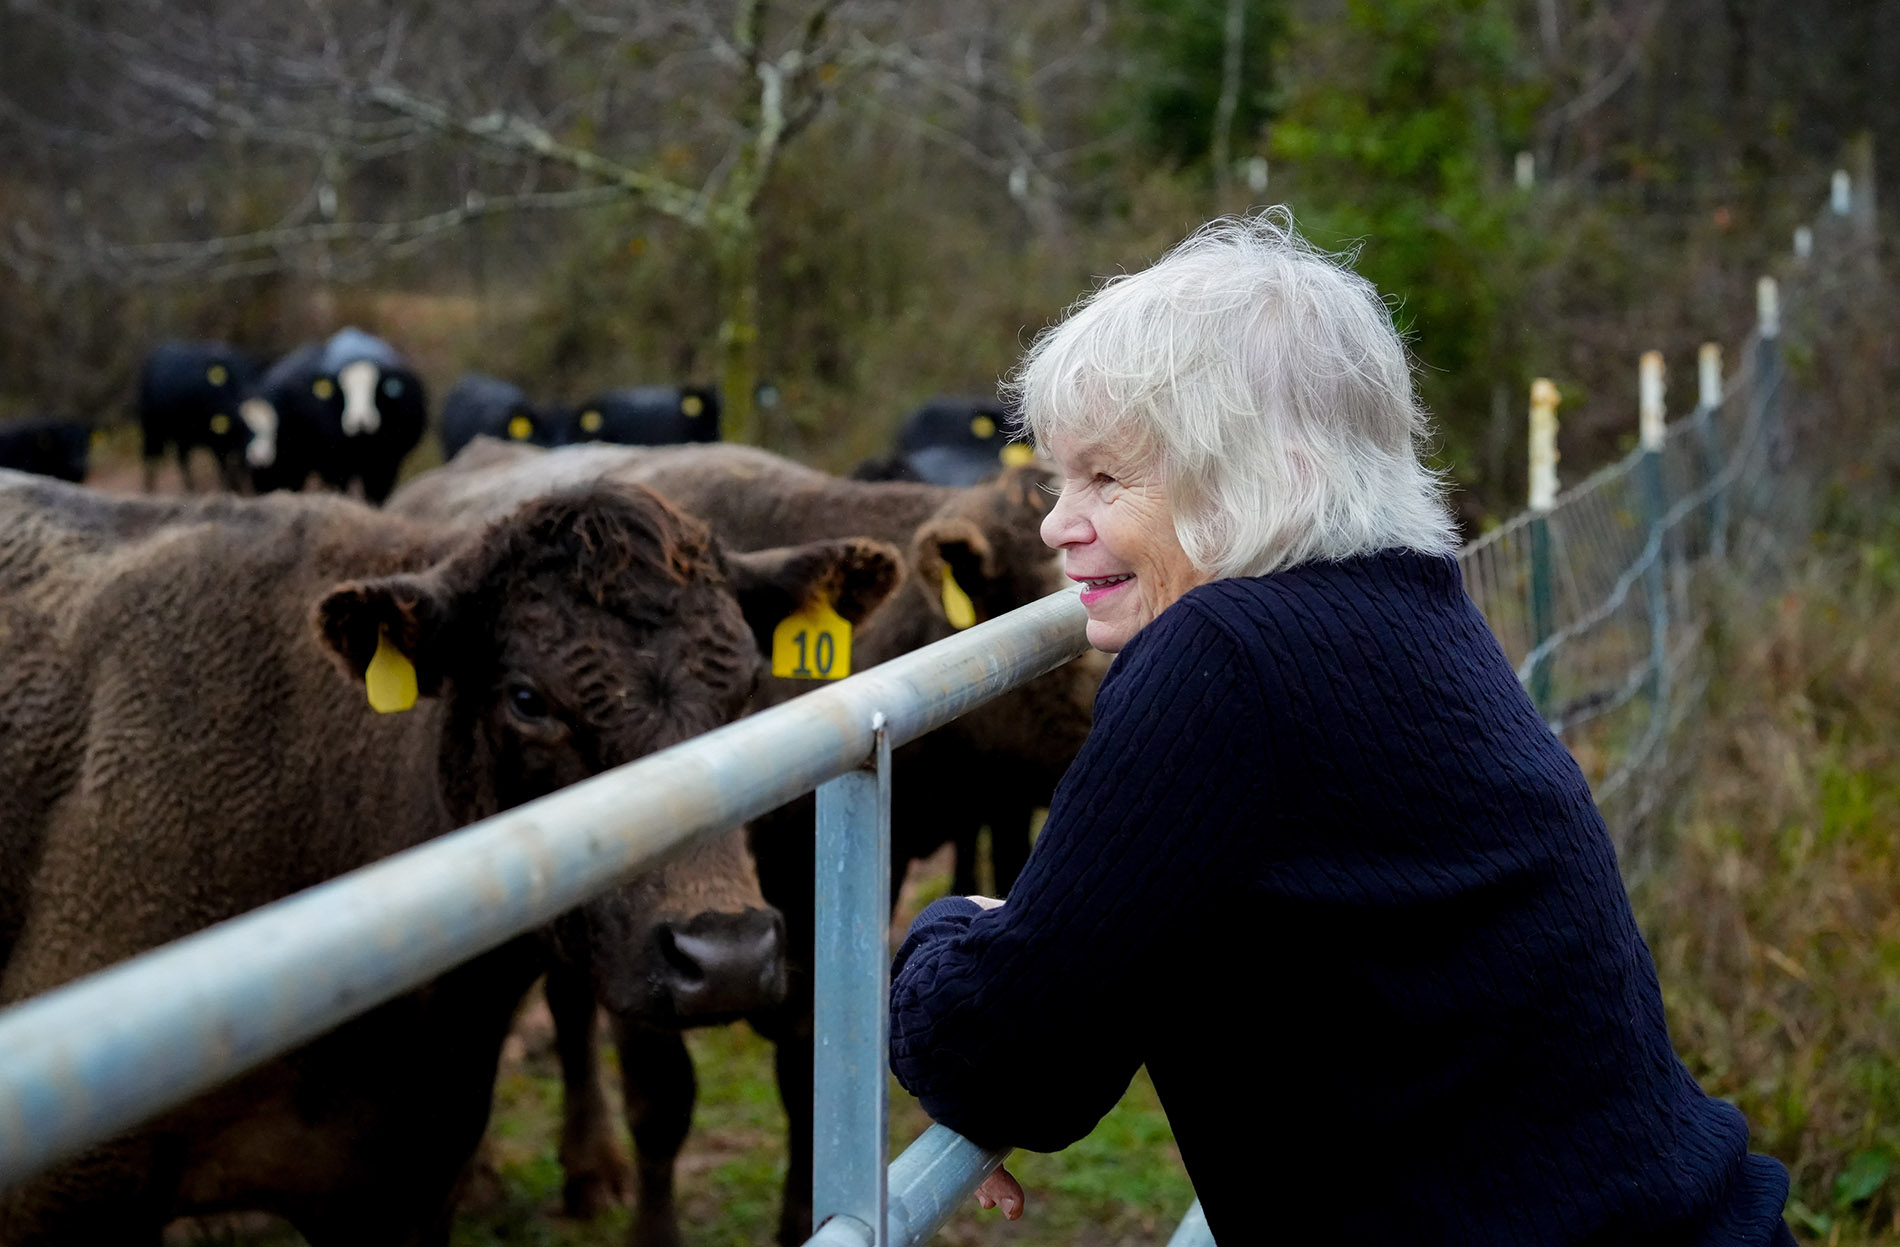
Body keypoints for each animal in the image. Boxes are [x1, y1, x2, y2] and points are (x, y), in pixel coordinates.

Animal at [137, 344, 262, 498]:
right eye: (244, 427)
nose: (259, 457)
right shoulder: (217, 440)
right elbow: (224, 466)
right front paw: (228, 489)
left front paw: (235, 488)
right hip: (152, 429)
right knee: (152, 456)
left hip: (180, 436)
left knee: (181, 458)